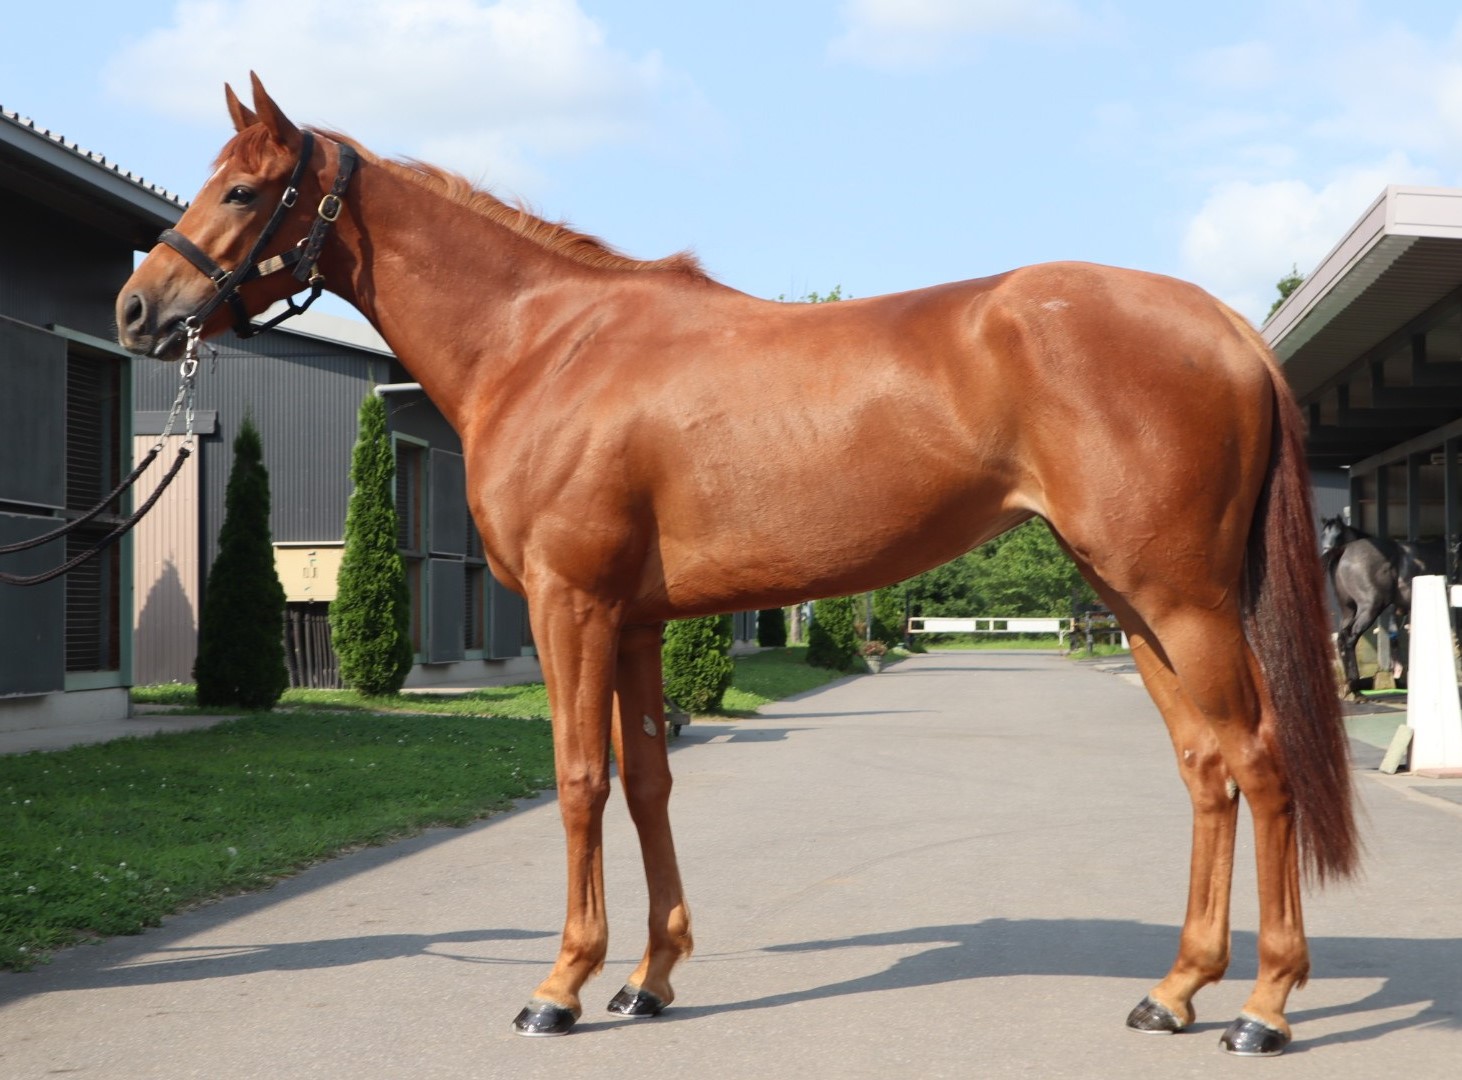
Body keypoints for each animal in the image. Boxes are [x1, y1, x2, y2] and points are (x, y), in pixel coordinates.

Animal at [115, 76, 1356, 1057]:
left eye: (242, 191)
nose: (138, 309)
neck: (547, 343)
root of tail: (1226, 327)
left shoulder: (573, 607)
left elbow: (578, 781)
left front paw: (559, 988)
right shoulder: (634, 621)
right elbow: (649, 783)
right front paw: (649, 978)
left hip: (1182, 602)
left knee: (1260, 763)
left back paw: (1265, 1007)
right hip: (1135, 605)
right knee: (1203, 769)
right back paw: (1176, 990)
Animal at [1319, 516, 1446, 695]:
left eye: (1338, 534)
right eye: (1323, 534)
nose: (1325, 549)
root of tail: (1344, 550)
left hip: (1348, 609)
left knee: (1342, 638)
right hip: (1370, 607)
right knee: (1349, 637)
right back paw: (1354, 684)